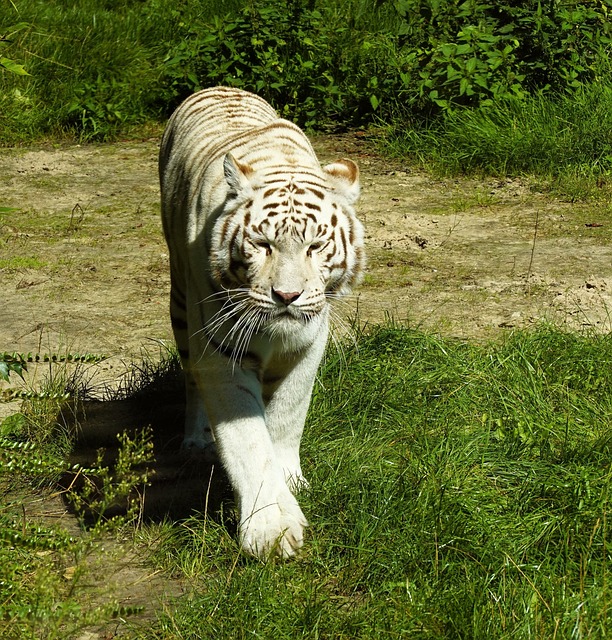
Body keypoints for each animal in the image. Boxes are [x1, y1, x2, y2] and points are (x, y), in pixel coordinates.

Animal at [160, 86, 366, 560]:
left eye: (315, 246)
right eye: (262, 244)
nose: (286, 297)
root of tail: (220, 86)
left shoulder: (307, 347)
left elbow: (287, 418)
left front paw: (291, 481)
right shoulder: (220, 353)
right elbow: (249, 443)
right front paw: (271, 530)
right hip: (181, 305)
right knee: (190, 379)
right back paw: (196, 441)